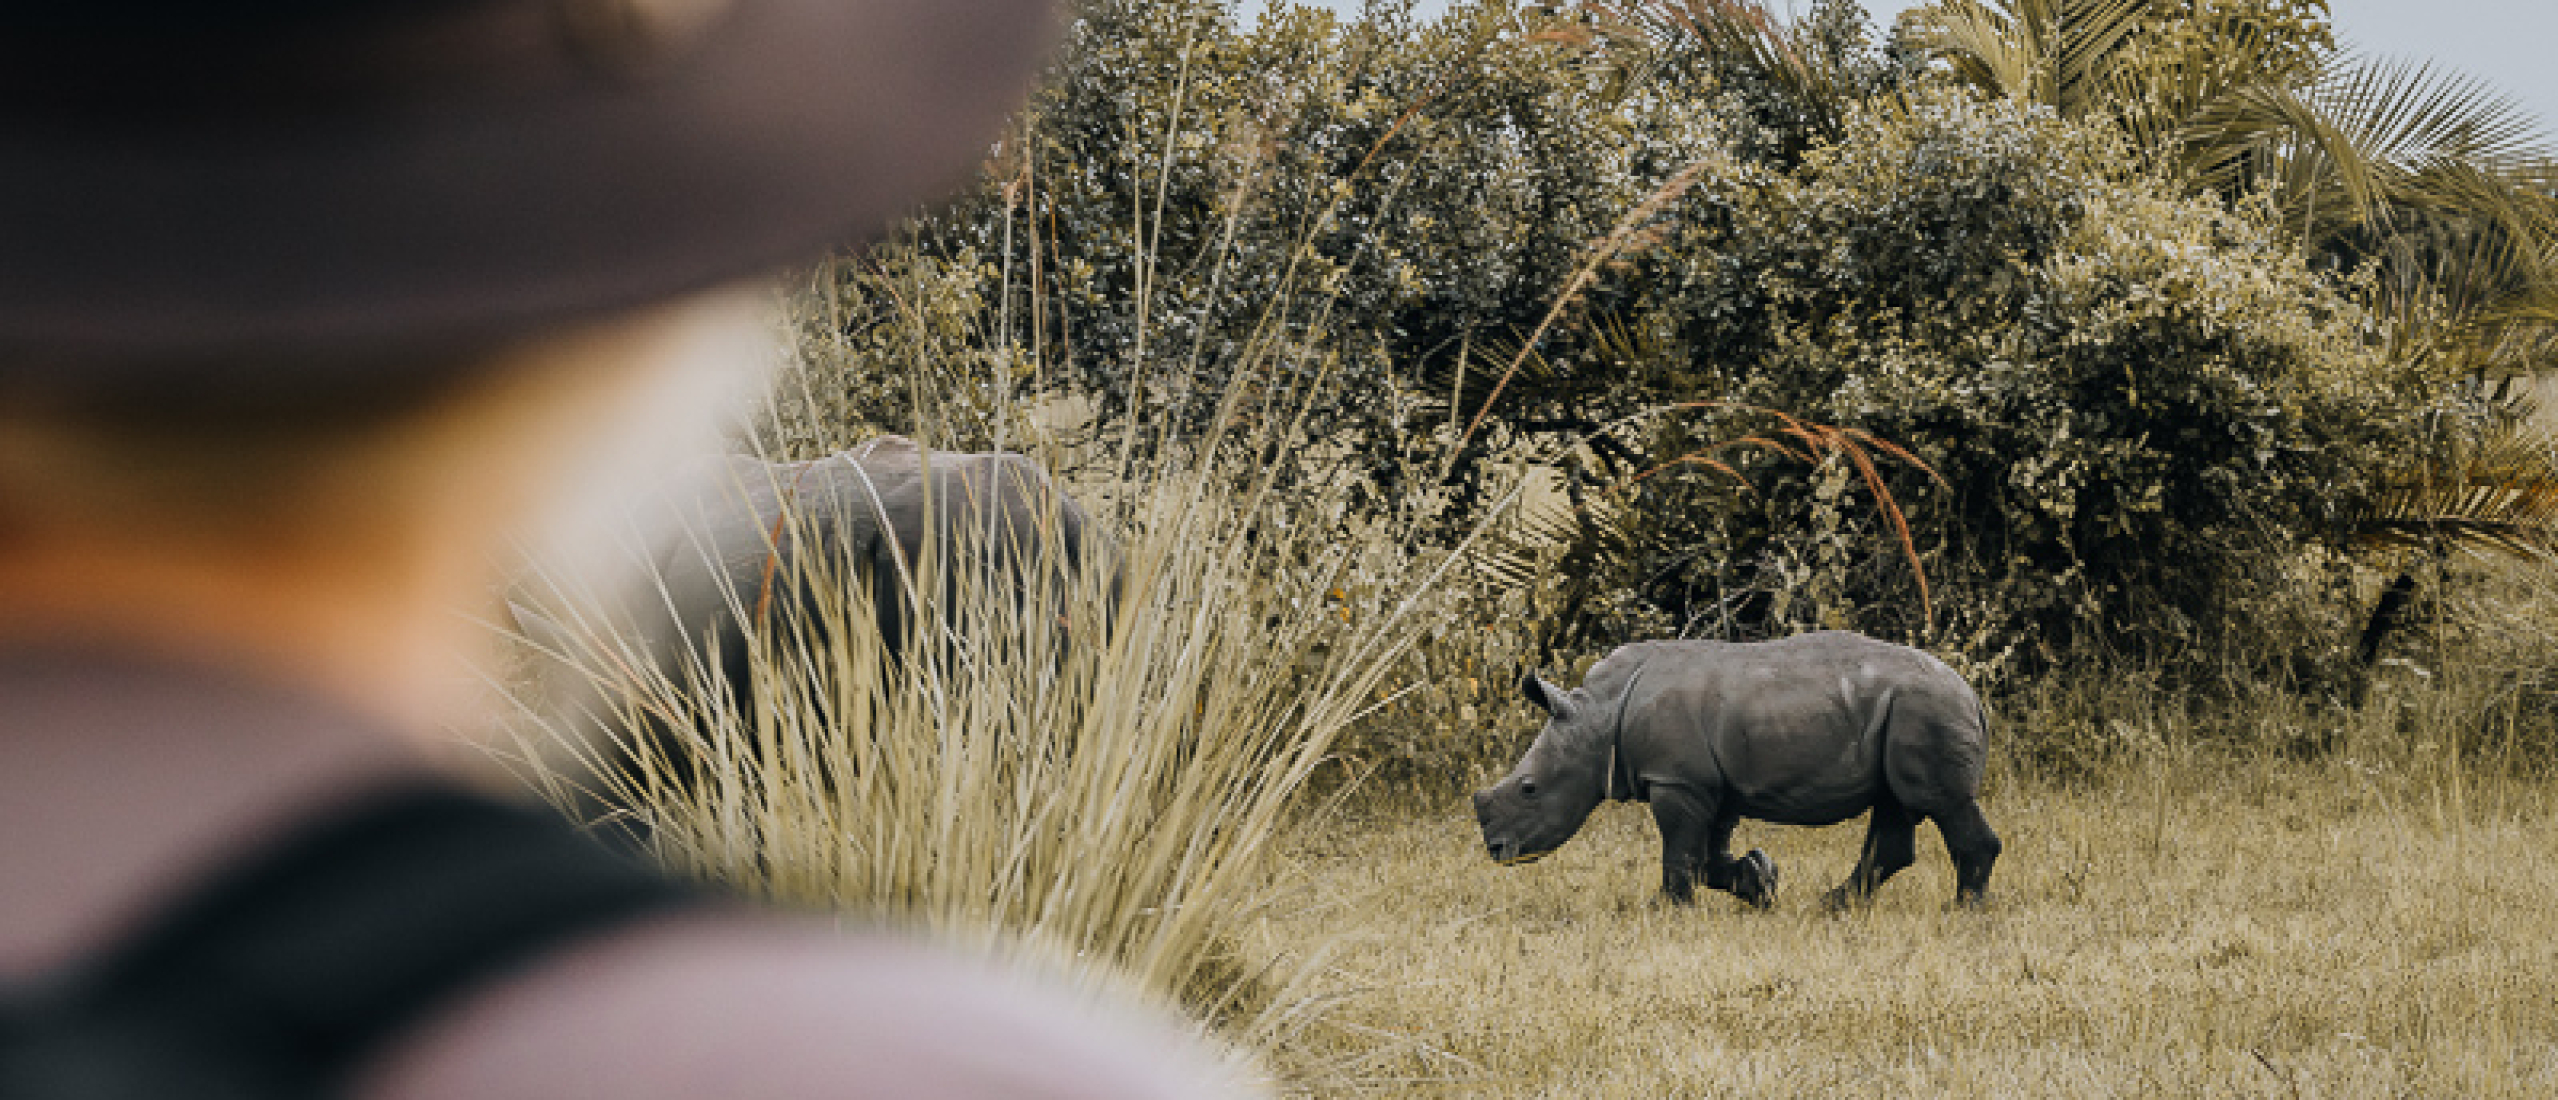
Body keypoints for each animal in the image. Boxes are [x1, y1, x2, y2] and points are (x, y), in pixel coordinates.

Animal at [1471, 631, 2001, 910]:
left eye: (1528, 789)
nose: (1496, 850)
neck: (1598, 716)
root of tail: (1973, 697)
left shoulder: (1676, 780)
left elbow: (1681, 850)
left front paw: (1666, 910)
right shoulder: (1711, 783)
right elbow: (1707, 855)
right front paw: (1761, 882)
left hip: (1926, 709)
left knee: (1941, 802)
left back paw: (1963, 910)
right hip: (1906, 712)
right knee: (1893, 807)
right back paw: (1831, 907)